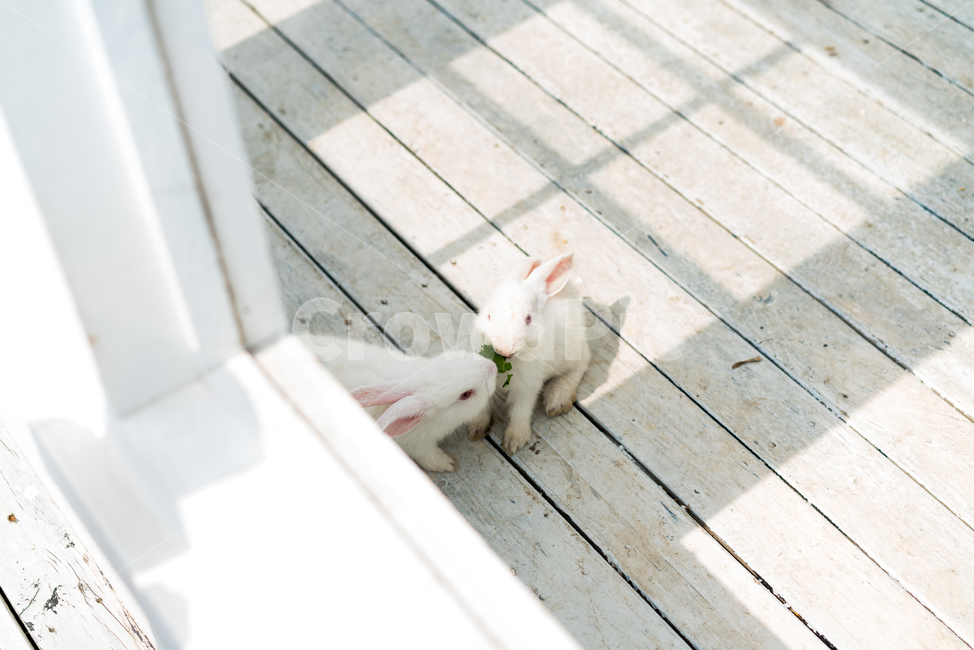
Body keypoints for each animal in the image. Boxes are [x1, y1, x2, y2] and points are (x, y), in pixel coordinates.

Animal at [317, 335, 498, 472]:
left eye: (457, 358)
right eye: (465, 395)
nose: (493, 366)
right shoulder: (419, 445)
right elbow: (429, 457)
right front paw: (449, 463)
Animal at [475, 252, 590, 455]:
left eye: (528, 319)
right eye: (488, 316)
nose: (504, 350)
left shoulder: (527, 386)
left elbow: (521, 411)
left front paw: (514, 442)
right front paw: (477, 428)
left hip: (574, 354)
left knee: (580, 366)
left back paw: (557, 401)